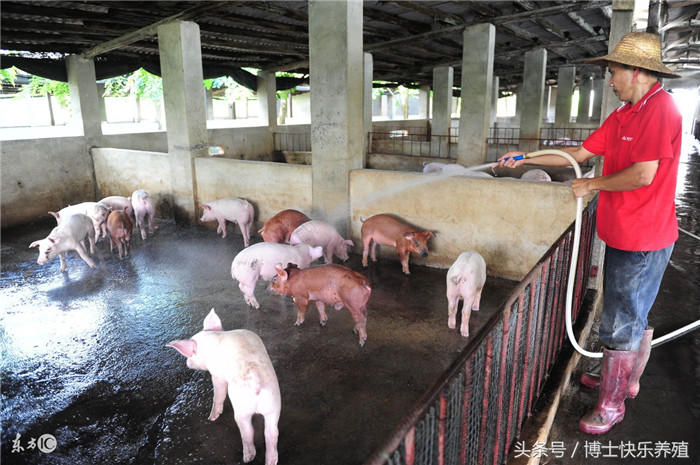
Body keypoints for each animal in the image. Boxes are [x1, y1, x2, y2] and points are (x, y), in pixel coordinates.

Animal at [168, 308, 280, 464]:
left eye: (190, 355)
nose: (187, 364)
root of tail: (257, 384)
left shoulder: (217, 374)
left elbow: (218, 393)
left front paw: (211, 418)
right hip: (274, 404)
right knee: (272, 434)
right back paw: (271, 461)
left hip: (242, 409)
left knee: (248, 431)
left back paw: (247, 458)